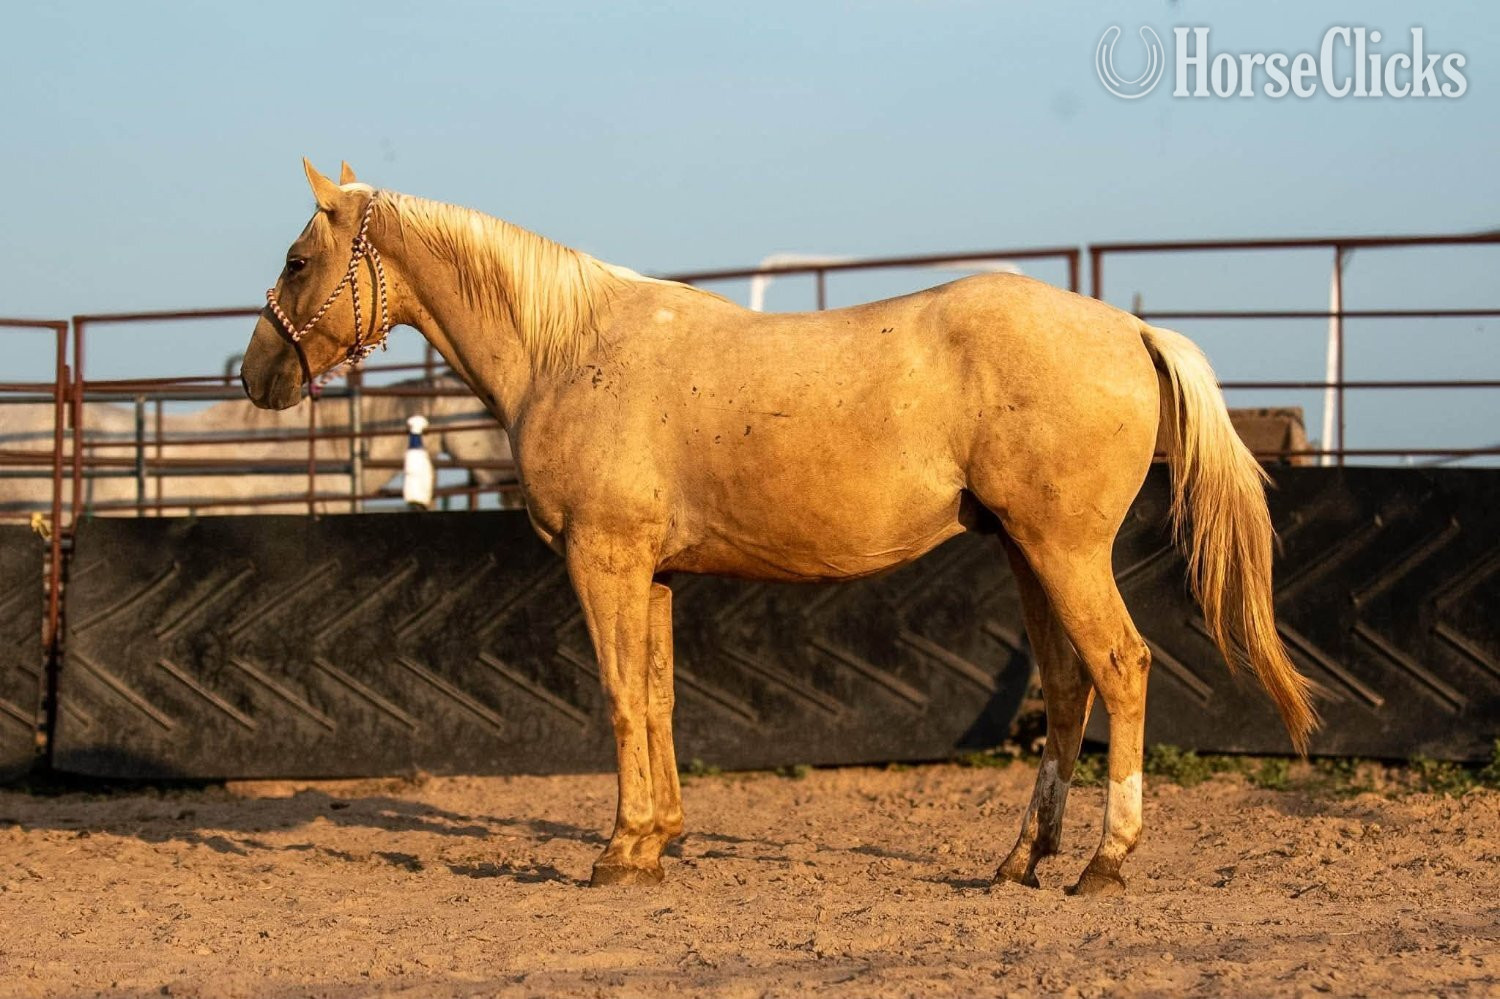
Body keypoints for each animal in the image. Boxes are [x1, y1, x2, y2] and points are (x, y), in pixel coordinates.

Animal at [241, 160, 1317, 894]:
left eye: (297, 259)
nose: (253, 376)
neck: (569, 348)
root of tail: (1128, 329)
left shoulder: (604, 561)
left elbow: (621, 701)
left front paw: (617, 851)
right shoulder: (653, 574)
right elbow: (660, 700)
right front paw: (657, 839)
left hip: (1063, 551)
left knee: (1121, 669)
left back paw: (1105, 860)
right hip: (1029, 552)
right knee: (1067, 686)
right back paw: (1020, 859)